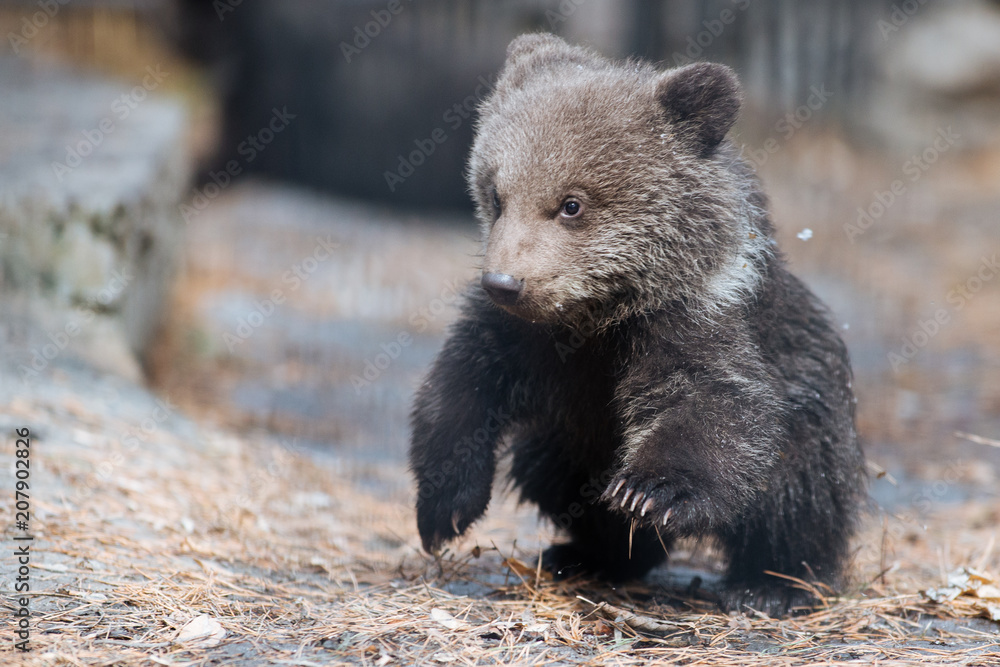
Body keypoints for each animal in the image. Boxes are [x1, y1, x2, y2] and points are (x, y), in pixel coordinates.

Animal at [409, 33, 866, 616]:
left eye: (571, 203)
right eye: (496, 194)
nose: (504, 282)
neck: (595, 318)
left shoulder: (691, 324)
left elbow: (713, 405)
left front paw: (650, 492)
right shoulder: (520, 339)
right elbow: (458, 392)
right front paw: (444, 508)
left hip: (816, 400)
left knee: (801, 490)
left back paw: (774, 582)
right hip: (562, 441)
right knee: (552, 473)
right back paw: (587, 555)